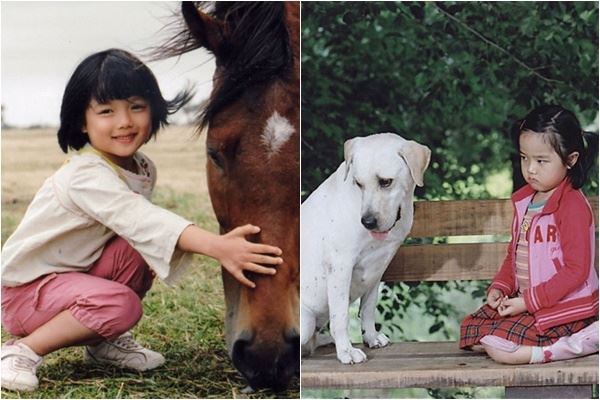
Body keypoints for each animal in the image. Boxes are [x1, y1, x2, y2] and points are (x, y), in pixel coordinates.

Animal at [302, 133, 428, 364]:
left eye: (385, 182)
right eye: (358, 183)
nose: (367, 222)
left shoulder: (377, 269)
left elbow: (368, 309)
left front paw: (371, 337)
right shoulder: (340, 266)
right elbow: (340, 316)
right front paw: (346, 351)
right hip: (306, 321)